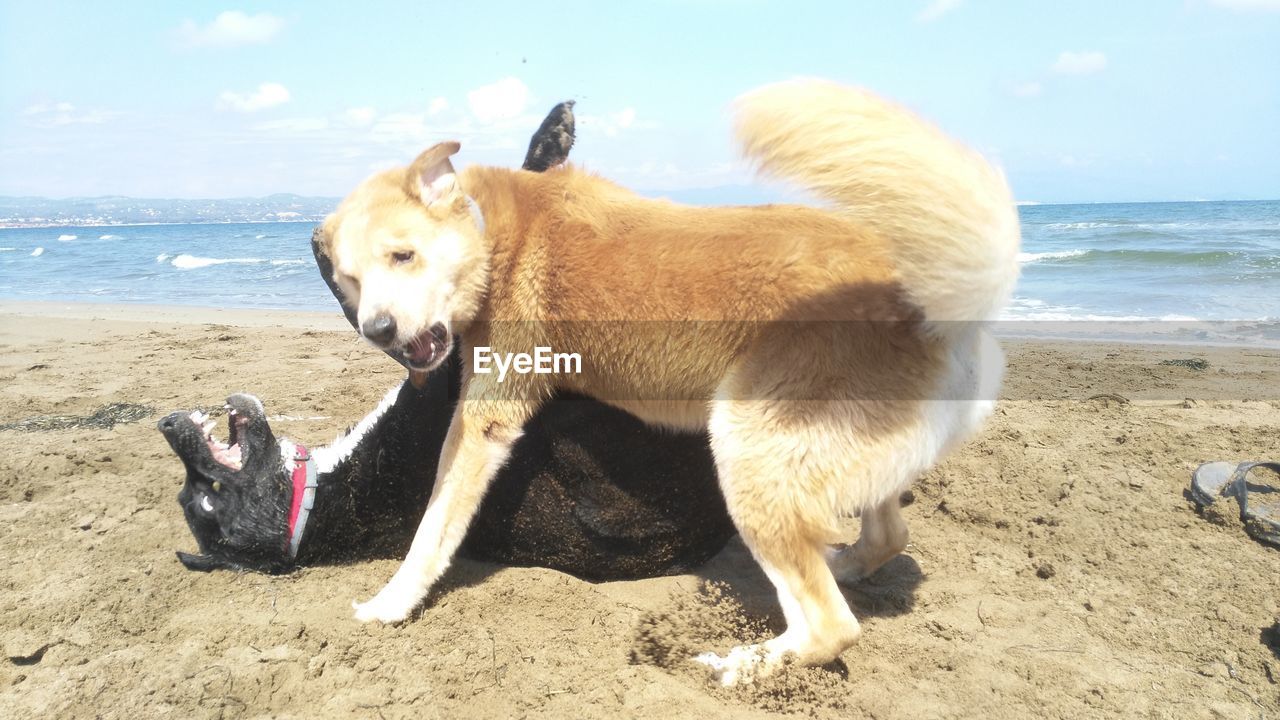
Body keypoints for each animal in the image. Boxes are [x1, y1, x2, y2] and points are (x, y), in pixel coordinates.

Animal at [320, 79, 1018, 681]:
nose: (378, 330)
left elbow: (430, 531)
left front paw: (390, 603)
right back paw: (841, 565)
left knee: (831, 628)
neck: (497, 234)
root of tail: (932, 303)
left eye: (402, 255)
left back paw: (739, 667)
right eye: (350, 278)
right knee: (887, 538)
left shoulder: (484, 418)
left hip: (745, 448)